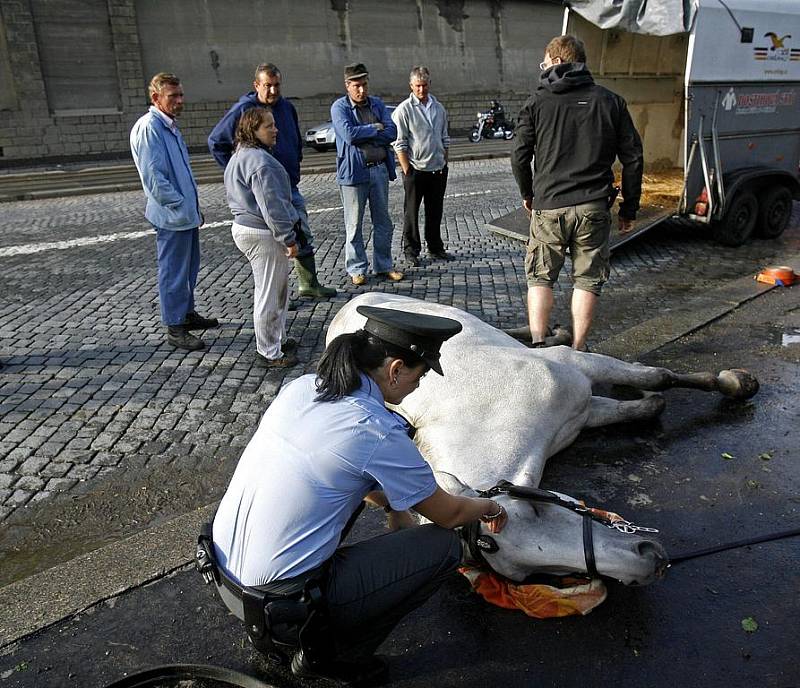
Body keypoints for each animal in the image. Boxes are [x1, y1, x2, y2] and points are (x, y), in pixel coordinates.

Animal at [324, 292, 756, 588]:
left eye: (535, 510)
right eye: (533, 572)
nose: (648, 561)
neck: (492, 413)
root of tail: (351, 306)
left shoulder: (576, 368)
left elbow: (658, 377)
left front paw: (736, 382)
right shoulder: (586, 410)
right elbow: (652, 405)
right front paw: (648, 398)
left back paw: (552, 331)